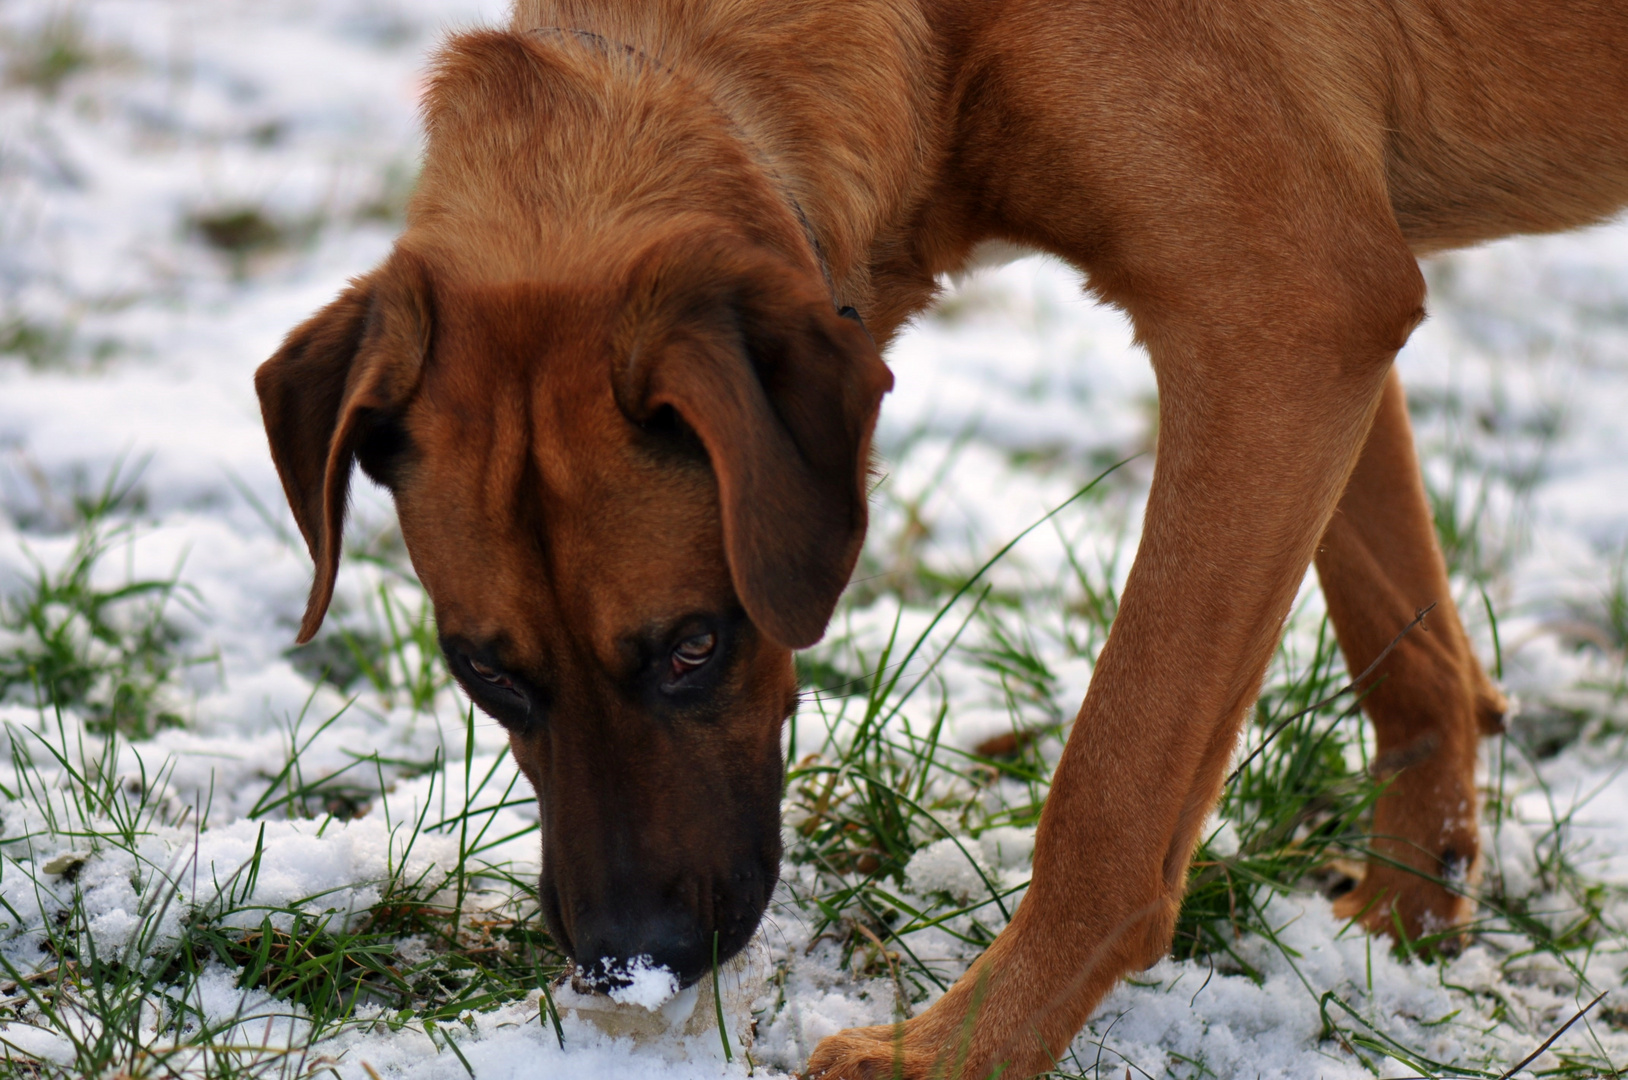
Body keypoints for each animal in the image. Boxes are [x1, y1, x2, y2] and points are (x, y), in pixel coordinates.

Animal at [253, 4, 1628, 1075]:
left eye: (695, 648)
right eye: (484, 672)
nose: (630, 962)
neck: (945, 37)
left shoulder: (1280, 314)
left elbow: (1113, 786)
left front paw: (959, 1051)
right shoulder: (1325, 334)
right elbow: (1407, 647)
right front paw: (1410, 914)